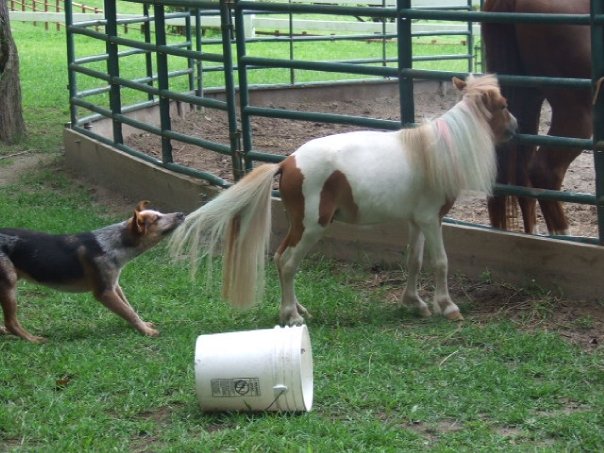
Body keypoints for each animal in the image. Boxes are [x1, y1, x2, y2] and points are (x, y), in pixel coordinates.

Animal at [0, 201, 184, 342]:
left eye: (159, 213)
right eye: (157, 219)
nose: (182, 213)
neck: (112, 244)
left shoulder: (114, 285)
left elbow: (130, 308)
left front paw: (144, 325)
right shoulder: (104, 293)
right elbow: (128, 312)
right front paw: (147, 332)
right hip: (9, 284)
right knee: (11, 322)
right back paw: (33, 339)